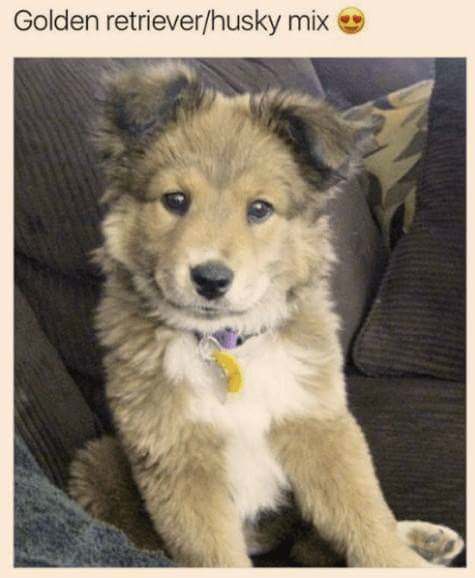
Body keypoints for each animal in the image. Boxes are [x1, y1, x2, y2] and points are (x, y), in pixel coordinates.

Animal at [69, 63, 464, 567]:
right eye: (175, 200)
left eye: (259, 209)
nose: (210, 279)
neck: (224, 343)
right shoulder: (177, 461)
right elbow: (217, 555)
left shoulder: (319, 424)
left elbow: (365, 518)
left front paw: (398, 558)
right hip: (99, 462)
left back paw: (425, 540)